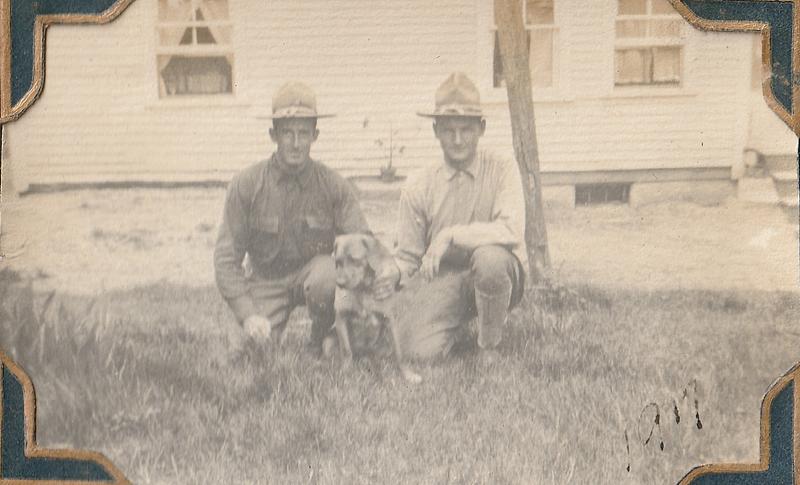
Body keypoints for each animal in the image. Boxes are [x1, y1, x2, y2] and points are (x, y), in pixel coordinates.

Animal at [330, 233, 422, 384]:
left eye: (355, 260)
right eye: (338, 261)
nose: (340, 283)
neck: (362, 290)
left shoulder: (390, 320)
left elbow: (399, 353)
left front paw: (407, 374)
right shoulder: (340, 319)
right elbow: (346, 350)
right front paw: (346, 374)